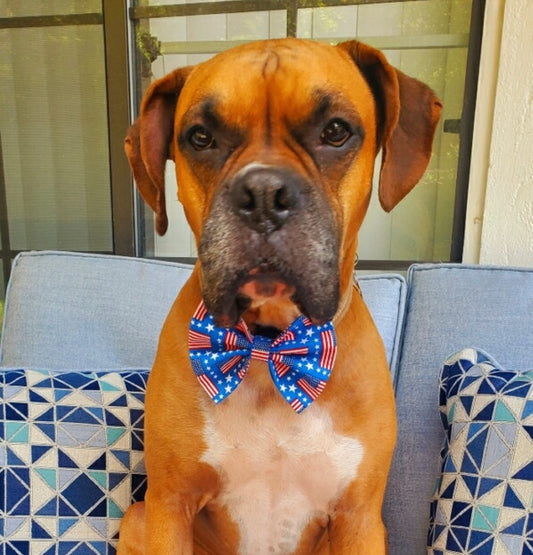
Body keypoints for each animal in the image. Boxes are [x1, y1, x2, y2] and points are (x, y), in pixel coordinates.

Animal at [119, 37, 440, 552]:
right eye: (200, 138)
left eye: (336, 131)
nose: (264, 194)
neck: (269, 347)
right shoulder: (170, 506)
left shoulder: (359, 519)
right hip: (138, 516)